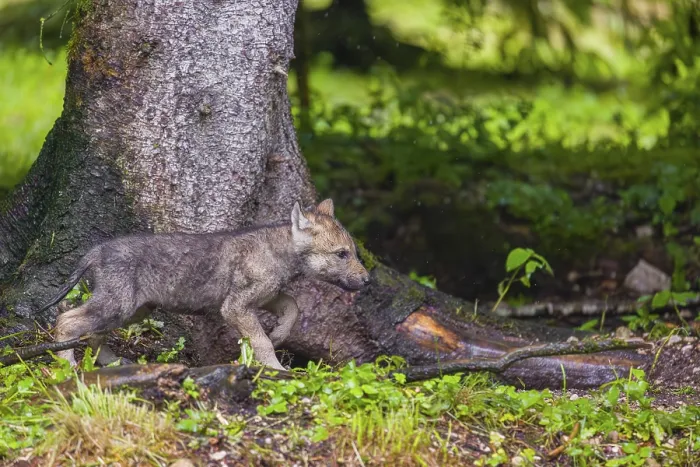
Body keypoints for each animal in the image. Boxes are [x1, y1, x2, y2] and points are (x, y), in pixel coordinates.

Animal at [39, 199, 369, 371]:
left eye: (355, 252)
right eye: (342, 254)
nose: (367, 279)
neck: (278, 252)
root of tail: (97, 250)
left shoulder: (262, 299)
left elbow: (293, 308)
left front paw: (278, 334)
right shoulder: (234, 307)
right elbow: (260, 341)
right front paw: (276, 369)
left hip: (134, 310)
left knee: (95, 333)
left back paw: (114, 363)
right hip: (117, 305)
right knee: (67, 321)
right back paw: (67, 367)